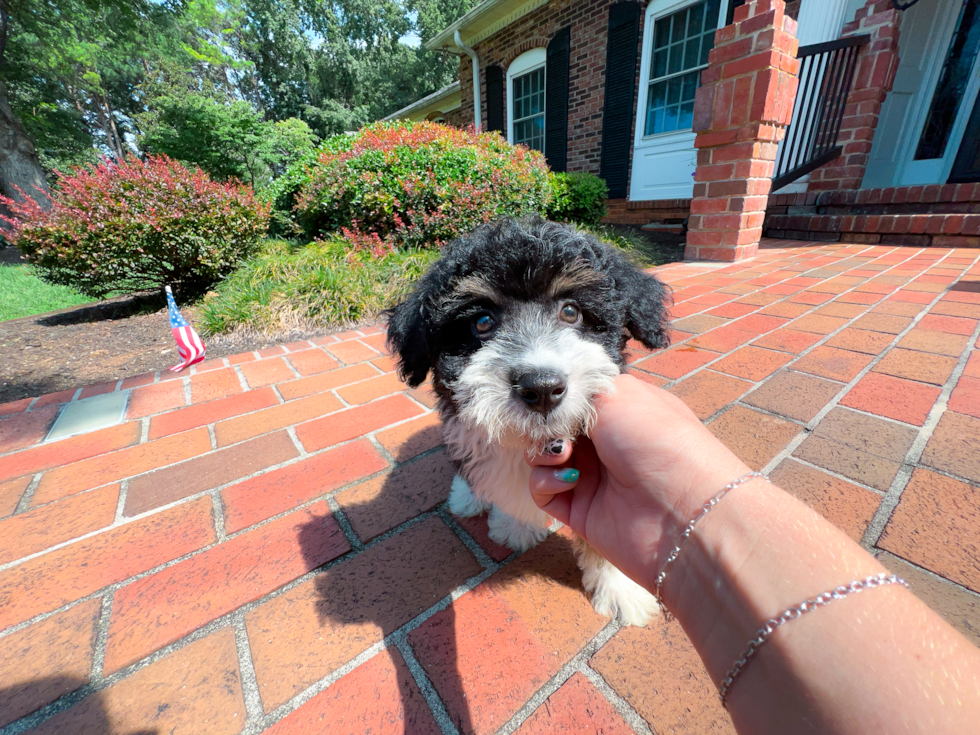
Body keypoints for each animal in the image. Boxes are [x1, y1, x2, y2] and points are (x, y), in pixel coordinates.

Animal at [386, 214, 668, 628]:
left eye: (571, 311)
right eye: (482, 322)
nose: (543, 387)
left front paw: (621, 588)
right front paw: (515, 524)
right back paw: (467, 496)